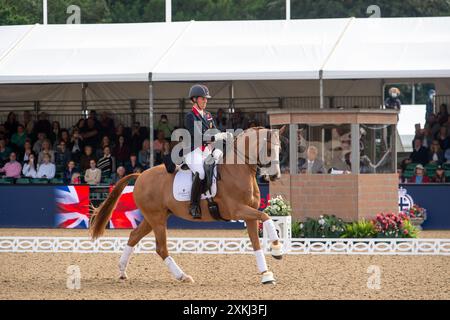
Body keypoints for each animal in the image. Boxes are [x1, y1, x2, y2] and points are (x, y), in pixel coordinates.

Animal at [89, 126, 284, 284]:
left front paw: (266, 274)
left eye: (279, 149)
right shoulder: (237, 211)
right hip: (157, 219)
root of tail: (140, 175)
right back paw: (182, 276)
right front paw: (276, 249)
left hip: (154, 217)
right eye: (268, 149)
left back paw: (122, 271)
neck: (238, 170)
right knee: (161, 248)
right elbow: (266, 216)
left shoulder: (249, 214)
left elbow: (256, 241)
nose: (275, 176)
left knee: (133, 236)